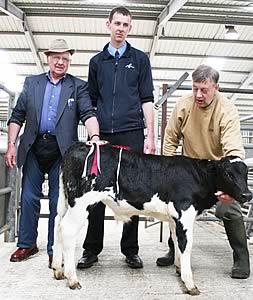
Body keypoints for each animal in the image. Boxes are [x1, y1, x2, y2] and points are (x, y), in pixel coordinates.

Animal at [52, 141, 252, 296]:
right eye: (227, 173)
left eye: (245, 173)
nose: (247, 194)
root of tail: (80, 145)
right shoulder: (185, 214)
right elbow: (186, 246)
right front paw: (190, 284)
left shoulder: (175, 219)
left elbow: (177, 243)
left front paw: (179, 269)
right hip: (81, 202)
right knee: (67, 229)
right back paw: (72, 279)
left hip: (66, 201)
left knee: (57, 224)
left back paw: (57, 269)